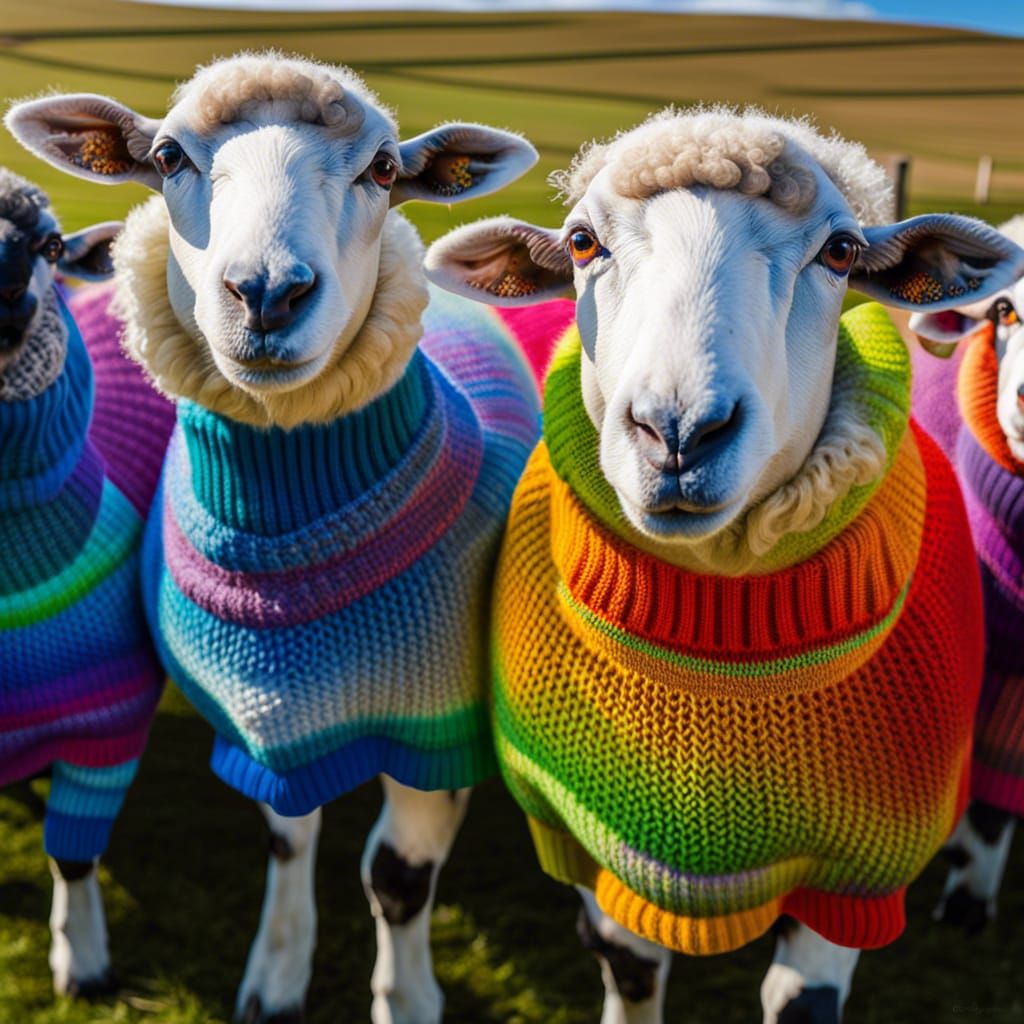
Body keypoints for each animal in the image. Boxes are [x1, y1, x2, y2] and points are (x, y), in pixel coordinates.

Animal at [7, 51, 541, 1024]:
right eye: (167, 156)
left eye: (384, 169)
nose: (265, 293)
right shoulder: (268, 718)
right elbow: (290, 845)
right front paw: (277, 976)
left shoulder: (440, 731)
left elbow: (397, 880)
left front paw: (407, 998)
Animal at [424, 106, 1024, 1024]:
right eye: (582, 242)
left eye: (841, 253)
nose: (677, 430)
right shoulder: (601, 844)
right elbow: (631, 966)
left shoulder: (857, 876)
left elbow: (803, 997)